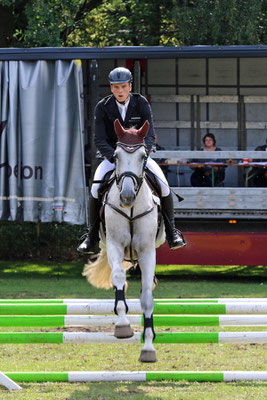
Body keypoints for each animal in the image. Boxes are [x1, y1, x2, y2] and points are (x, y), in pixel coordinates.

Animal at [82, 119, 166, 362]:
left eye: (143, 156)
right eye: (116, 156)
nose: (127, 197)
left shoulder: (147, 251)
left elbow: (147, 297)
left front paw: (148, 347)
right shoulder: (114, 246)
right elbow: (118, 277)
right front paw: (122, 325)